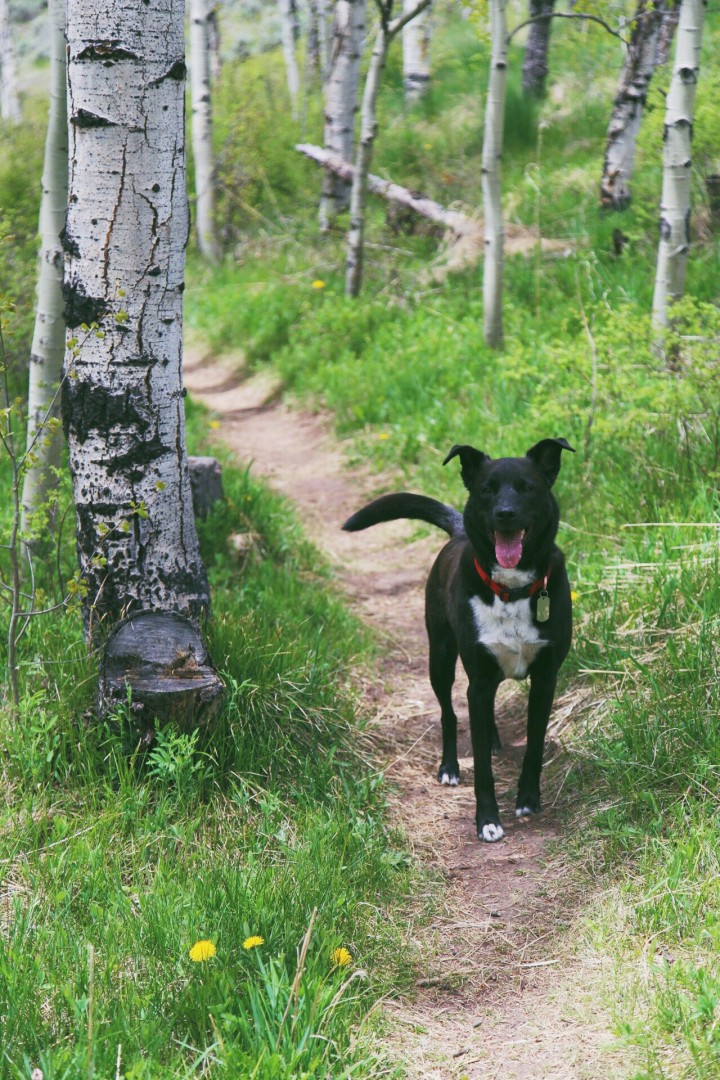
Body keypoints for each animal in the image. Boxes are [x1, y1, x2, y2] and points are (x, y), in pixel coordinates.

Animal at [343, 438, 574, 842]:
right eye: (486, 490)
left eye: (526, 487)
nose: (505, 514)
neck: (510, 590)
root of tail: (459, 532)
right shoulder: (478, 682)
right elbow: (480, 764)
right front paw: (488, 821)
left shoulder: (545, 679)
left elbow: (534, 745)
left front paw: (528, 799)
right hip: (440, 657)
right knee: (449, 714)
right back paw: (449, 767)